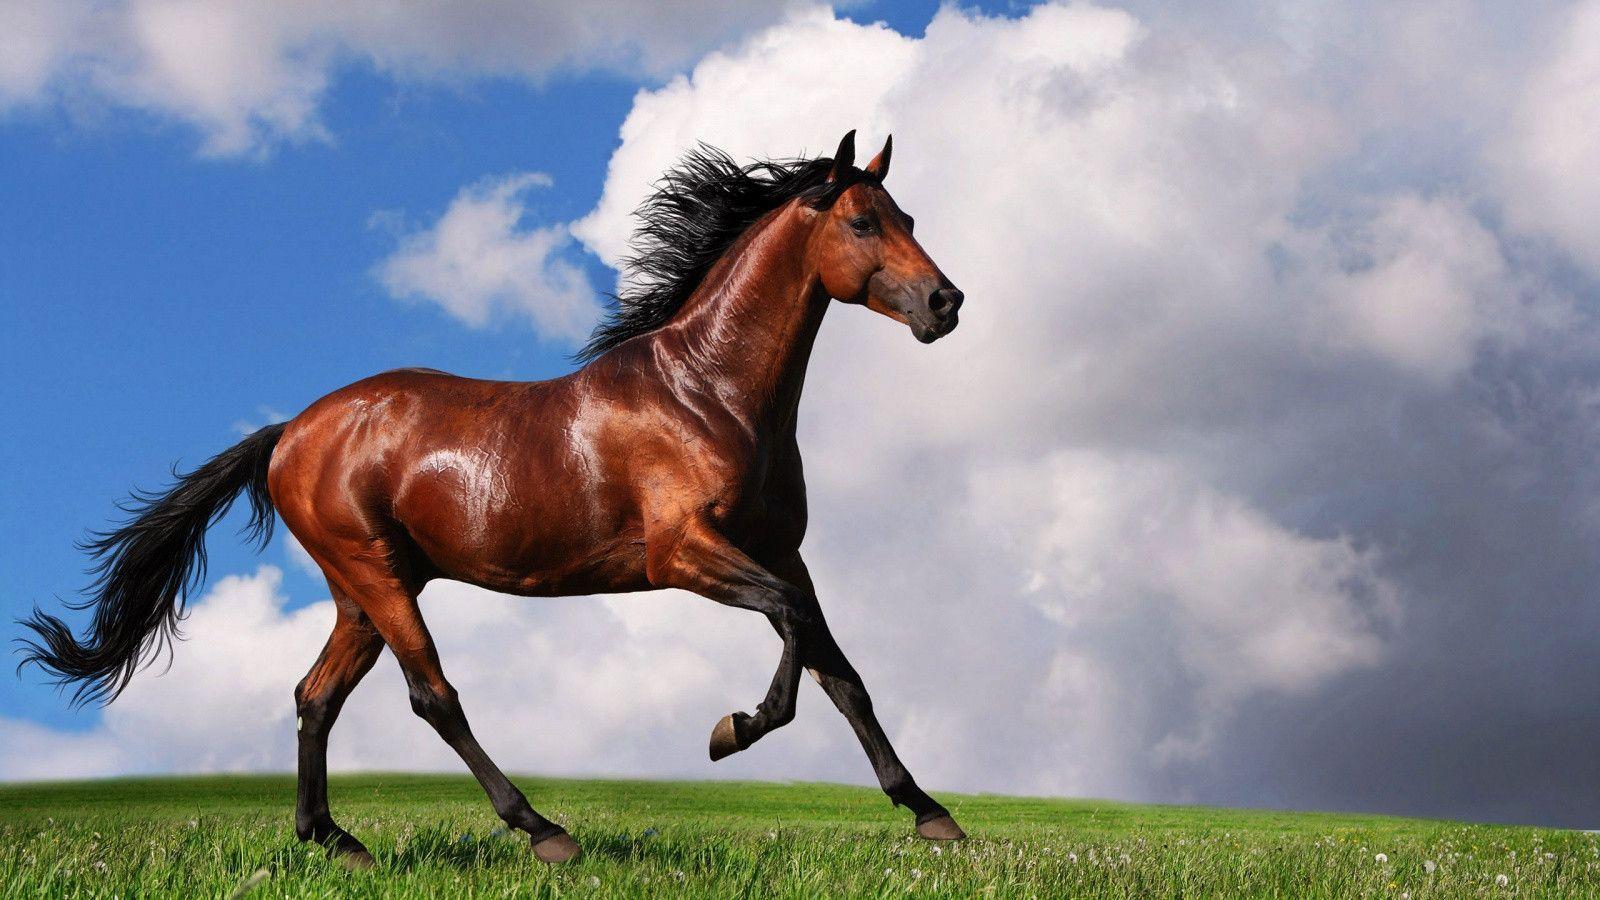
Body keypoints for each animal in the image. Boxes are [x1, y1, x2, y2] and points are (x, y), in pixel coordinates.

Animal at [20, 130, 968, 866]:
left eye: (910, 219)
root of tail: (290, 431)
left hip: (362, 590)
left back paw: (336, 841)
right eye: (862, 220)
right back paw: (543, 830)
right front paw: (731, 729)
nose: (946, 302)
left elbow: (841, 671)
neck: (709, 393)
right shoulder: (686, 553)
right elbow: (797, 638)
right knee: (431, 694)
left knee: (315, 695)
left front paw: (931, 814)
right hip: (375, 575)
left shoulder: (781, 551)